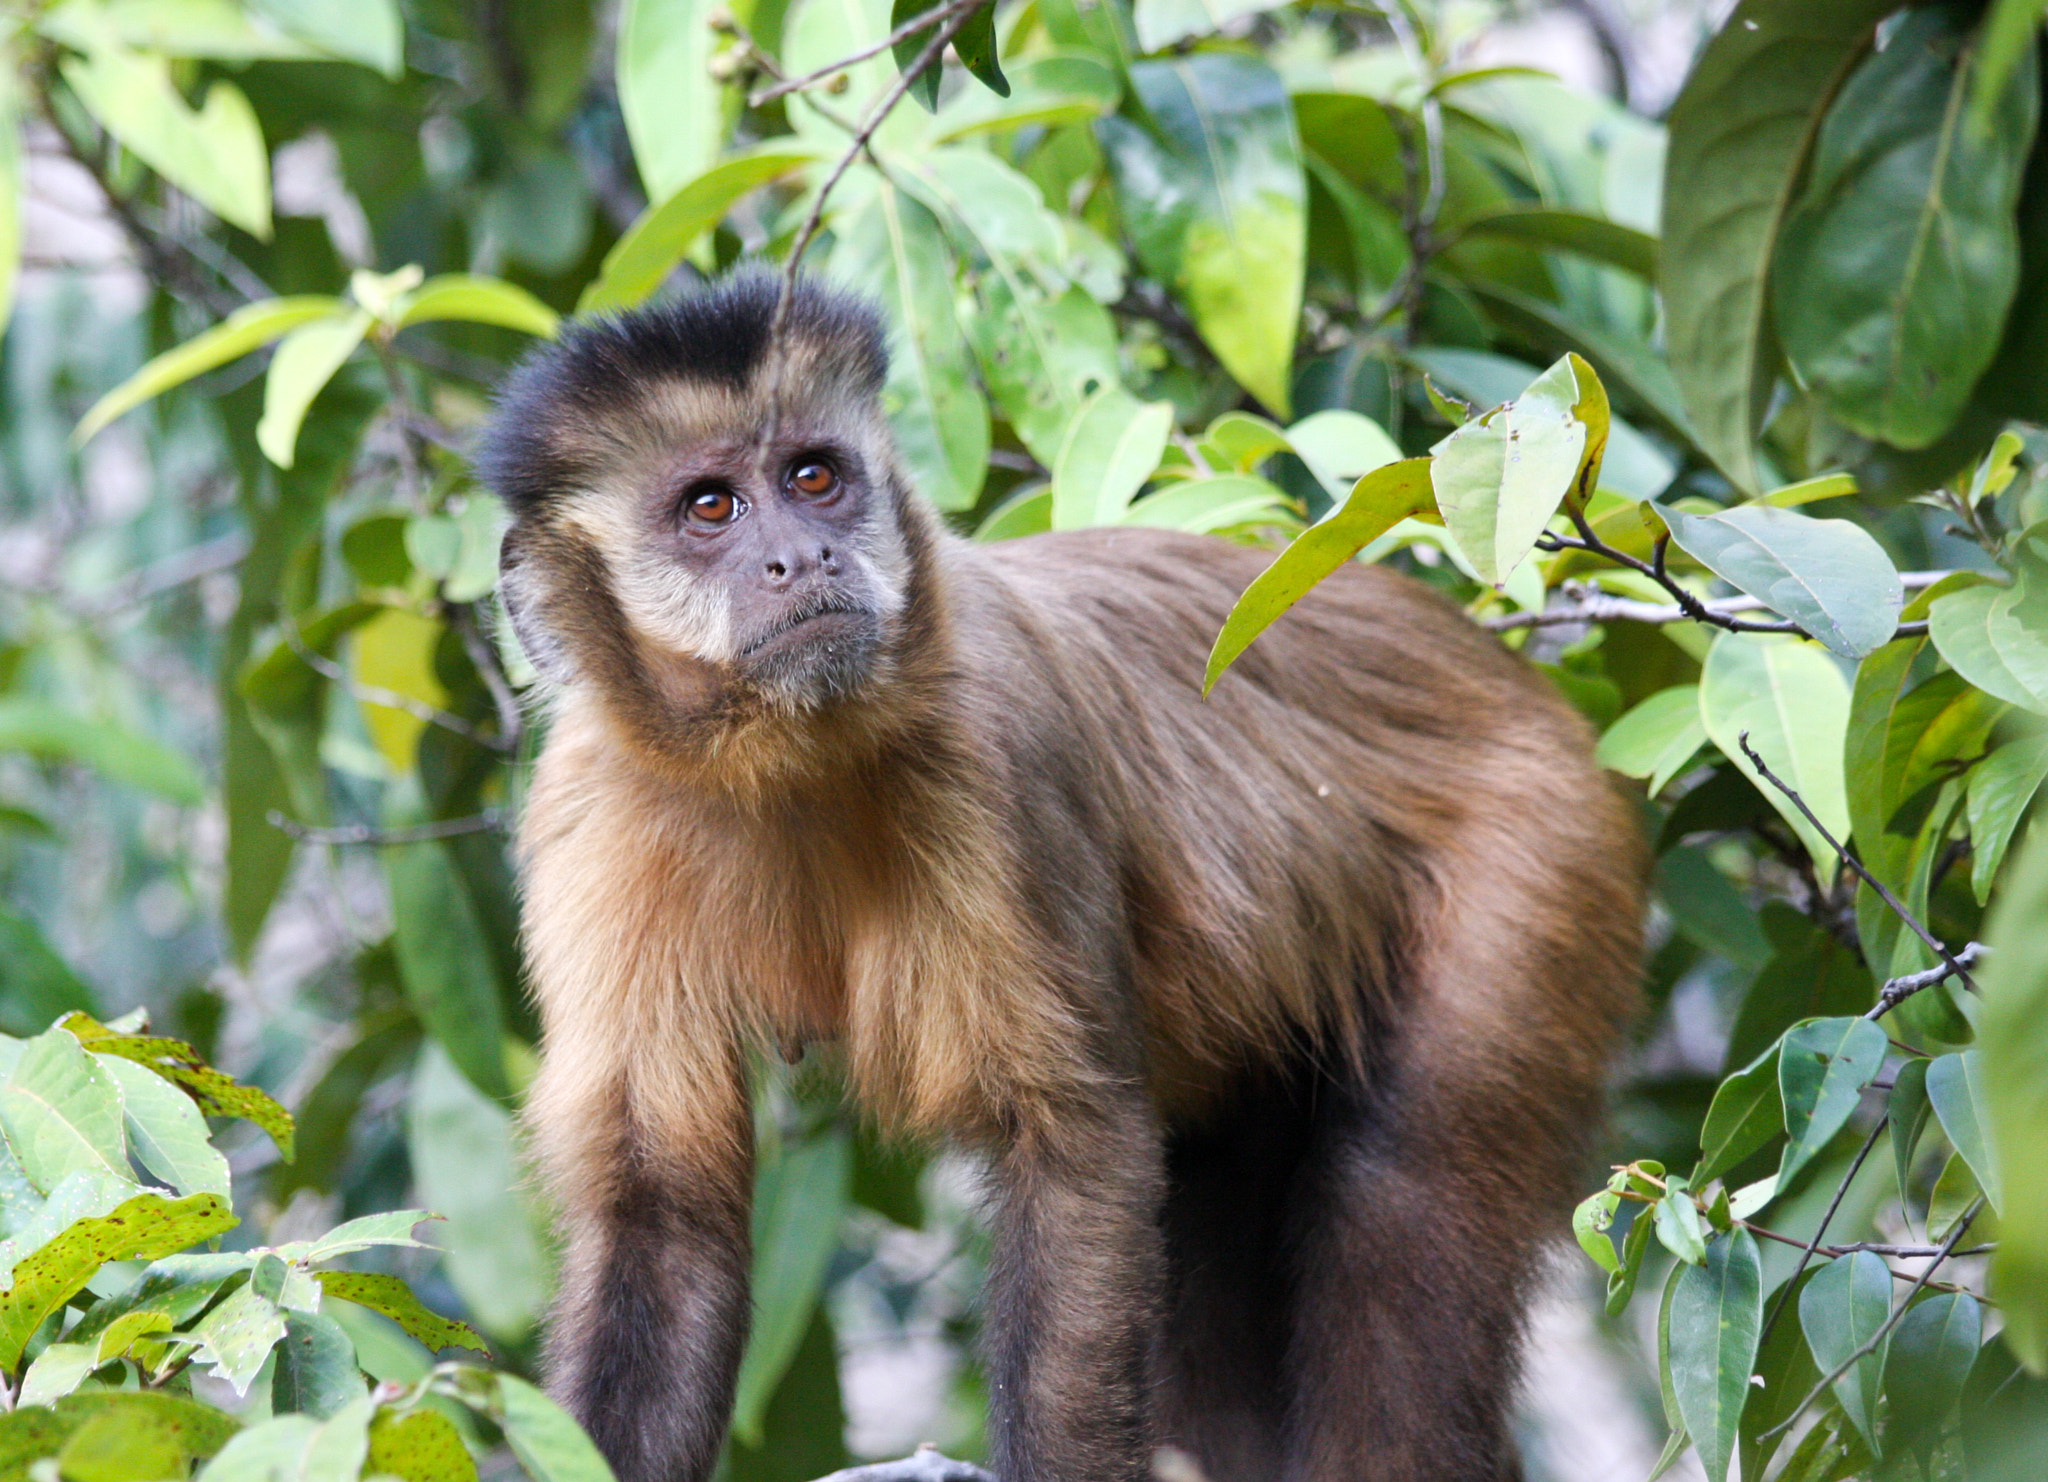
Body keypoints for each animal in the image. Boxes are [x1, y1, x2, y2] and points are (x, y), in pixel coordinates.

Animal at [475, 269, 1645, 1482]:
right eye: (710, 508)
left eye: (812, 479)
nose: (802, 558)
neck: (785, 761)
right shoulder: (589, 817)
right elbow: (662, 1215)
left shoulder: (1003, 747)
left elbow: (1077, 1152)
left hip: (1545, 842)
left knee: (1398, 1197)